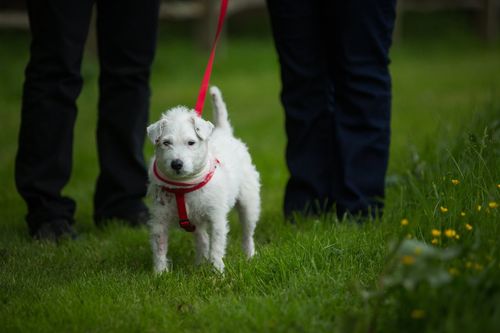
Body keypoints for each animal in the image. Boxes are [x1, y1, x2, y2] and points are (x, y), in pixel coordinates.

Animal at [146, 85, 260, 272]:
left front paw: (217, 270)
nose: (176, 164)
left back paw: (249, 255)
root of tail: (224, 131)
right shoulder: (159, 219)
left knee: (247, 233)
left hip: (248, 202)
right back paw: (199, 263)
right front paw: (160, 273)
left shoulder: (216, 217)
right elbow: (159, 248)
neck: (182, 186)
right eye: (166, 143)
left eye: (191, 142)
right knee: (202, 238)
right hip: (196, 221)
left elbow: (217, 245)